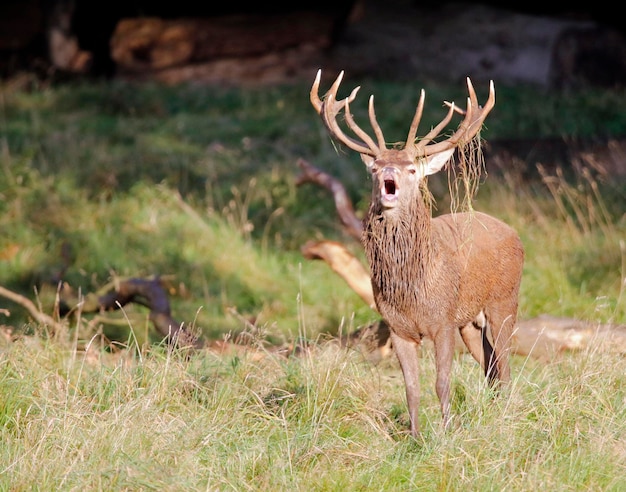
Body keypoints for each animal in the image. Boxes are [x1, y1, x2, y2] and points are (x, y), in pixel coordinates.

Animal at [310, 70, 524, 438]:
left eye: (411, 168)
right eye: (374, 167)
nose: (388, 175)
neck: (411, 289)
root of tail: (514, 234)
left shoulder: (443, 321)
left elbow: (442, 383)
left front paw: (447, 434)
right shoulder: (398, 328)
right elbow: (411, 387)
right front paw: (414, 437)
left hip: (504, 300)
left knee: (506, 365)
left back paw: (505, 416)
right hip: (471, 322)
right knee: (490, 368)